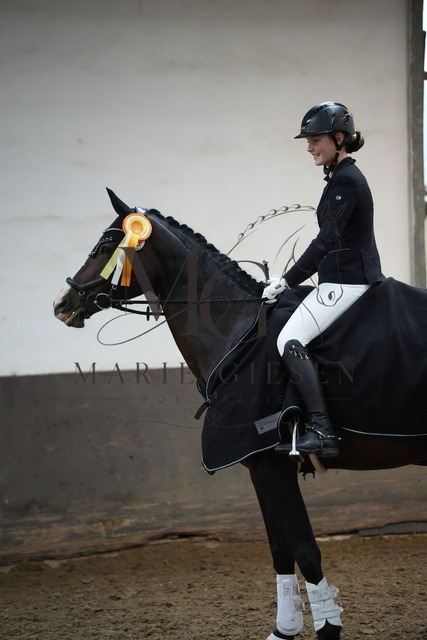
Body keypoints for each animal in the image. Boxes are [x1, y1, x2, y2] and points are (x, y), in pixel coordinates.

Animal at [54, 189, 427, 640]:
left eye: (106, 246)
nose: (61, 304)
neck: (238, 331)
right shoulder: (260, 466)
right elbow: (280, 550)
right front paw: (284, 629)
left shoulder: (271, 465)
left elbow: (305, 549)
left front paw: (327, 628)